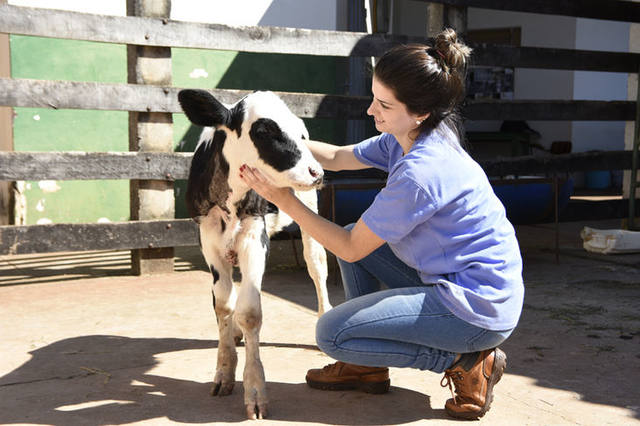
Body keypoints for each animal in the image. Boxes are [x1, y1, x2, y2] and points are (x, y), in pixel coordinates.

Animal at [179, 89, 332, 420]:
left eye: (302, 133)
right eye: (264, 131)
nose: (316, 172)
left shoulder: (254, 233)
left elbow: (250, 312)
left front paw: (254, 390)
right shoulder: (207, 236)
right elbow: (223, 303)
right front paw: (224, 371)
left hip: (309, 211)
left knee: (317, 266)